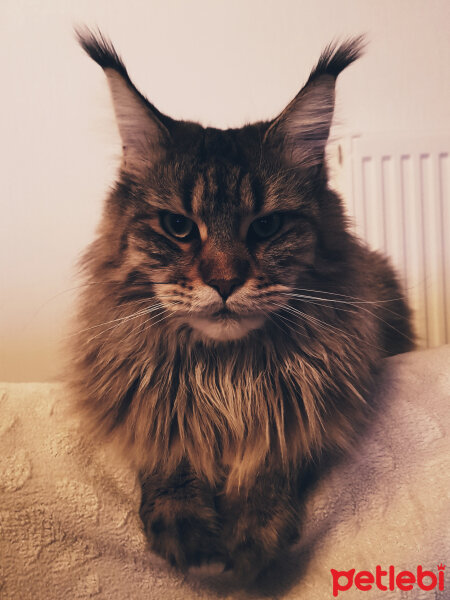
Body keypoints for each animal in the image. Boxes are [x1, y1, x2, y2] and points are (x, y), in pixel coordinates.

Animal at [69, 30, 414, 584]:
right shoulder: (142, 394)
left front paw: (251, 539)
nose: (225, 282)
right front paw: (189, 533)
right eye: (179, 227)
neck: (225, 372)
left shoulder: (319, 397)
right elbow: (167, 444)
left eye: (267, 226)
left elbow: (274, 454)